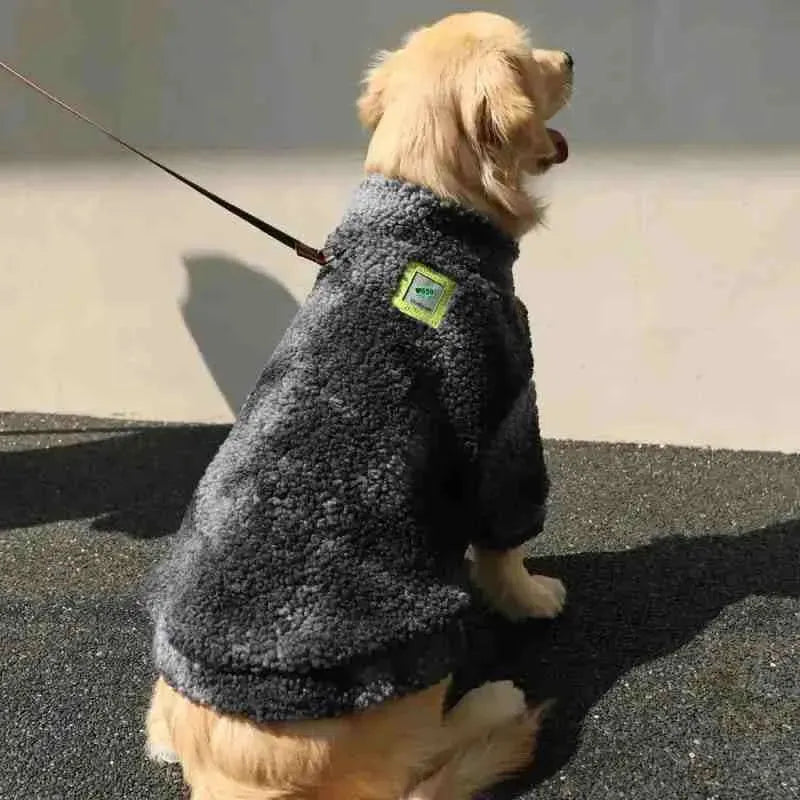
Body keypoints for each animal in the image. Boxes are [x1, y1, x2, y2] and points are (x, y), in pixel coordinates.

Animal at [144, 12, 568, 800]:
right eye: (533, 60)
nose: (573, 57)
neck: (421, 212)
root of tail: (232, 777)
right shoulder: (507, 420)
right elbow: (504, 546)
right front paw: (531, 596)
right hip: (412, 660)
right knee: (419, 764)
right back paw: (493, 701)